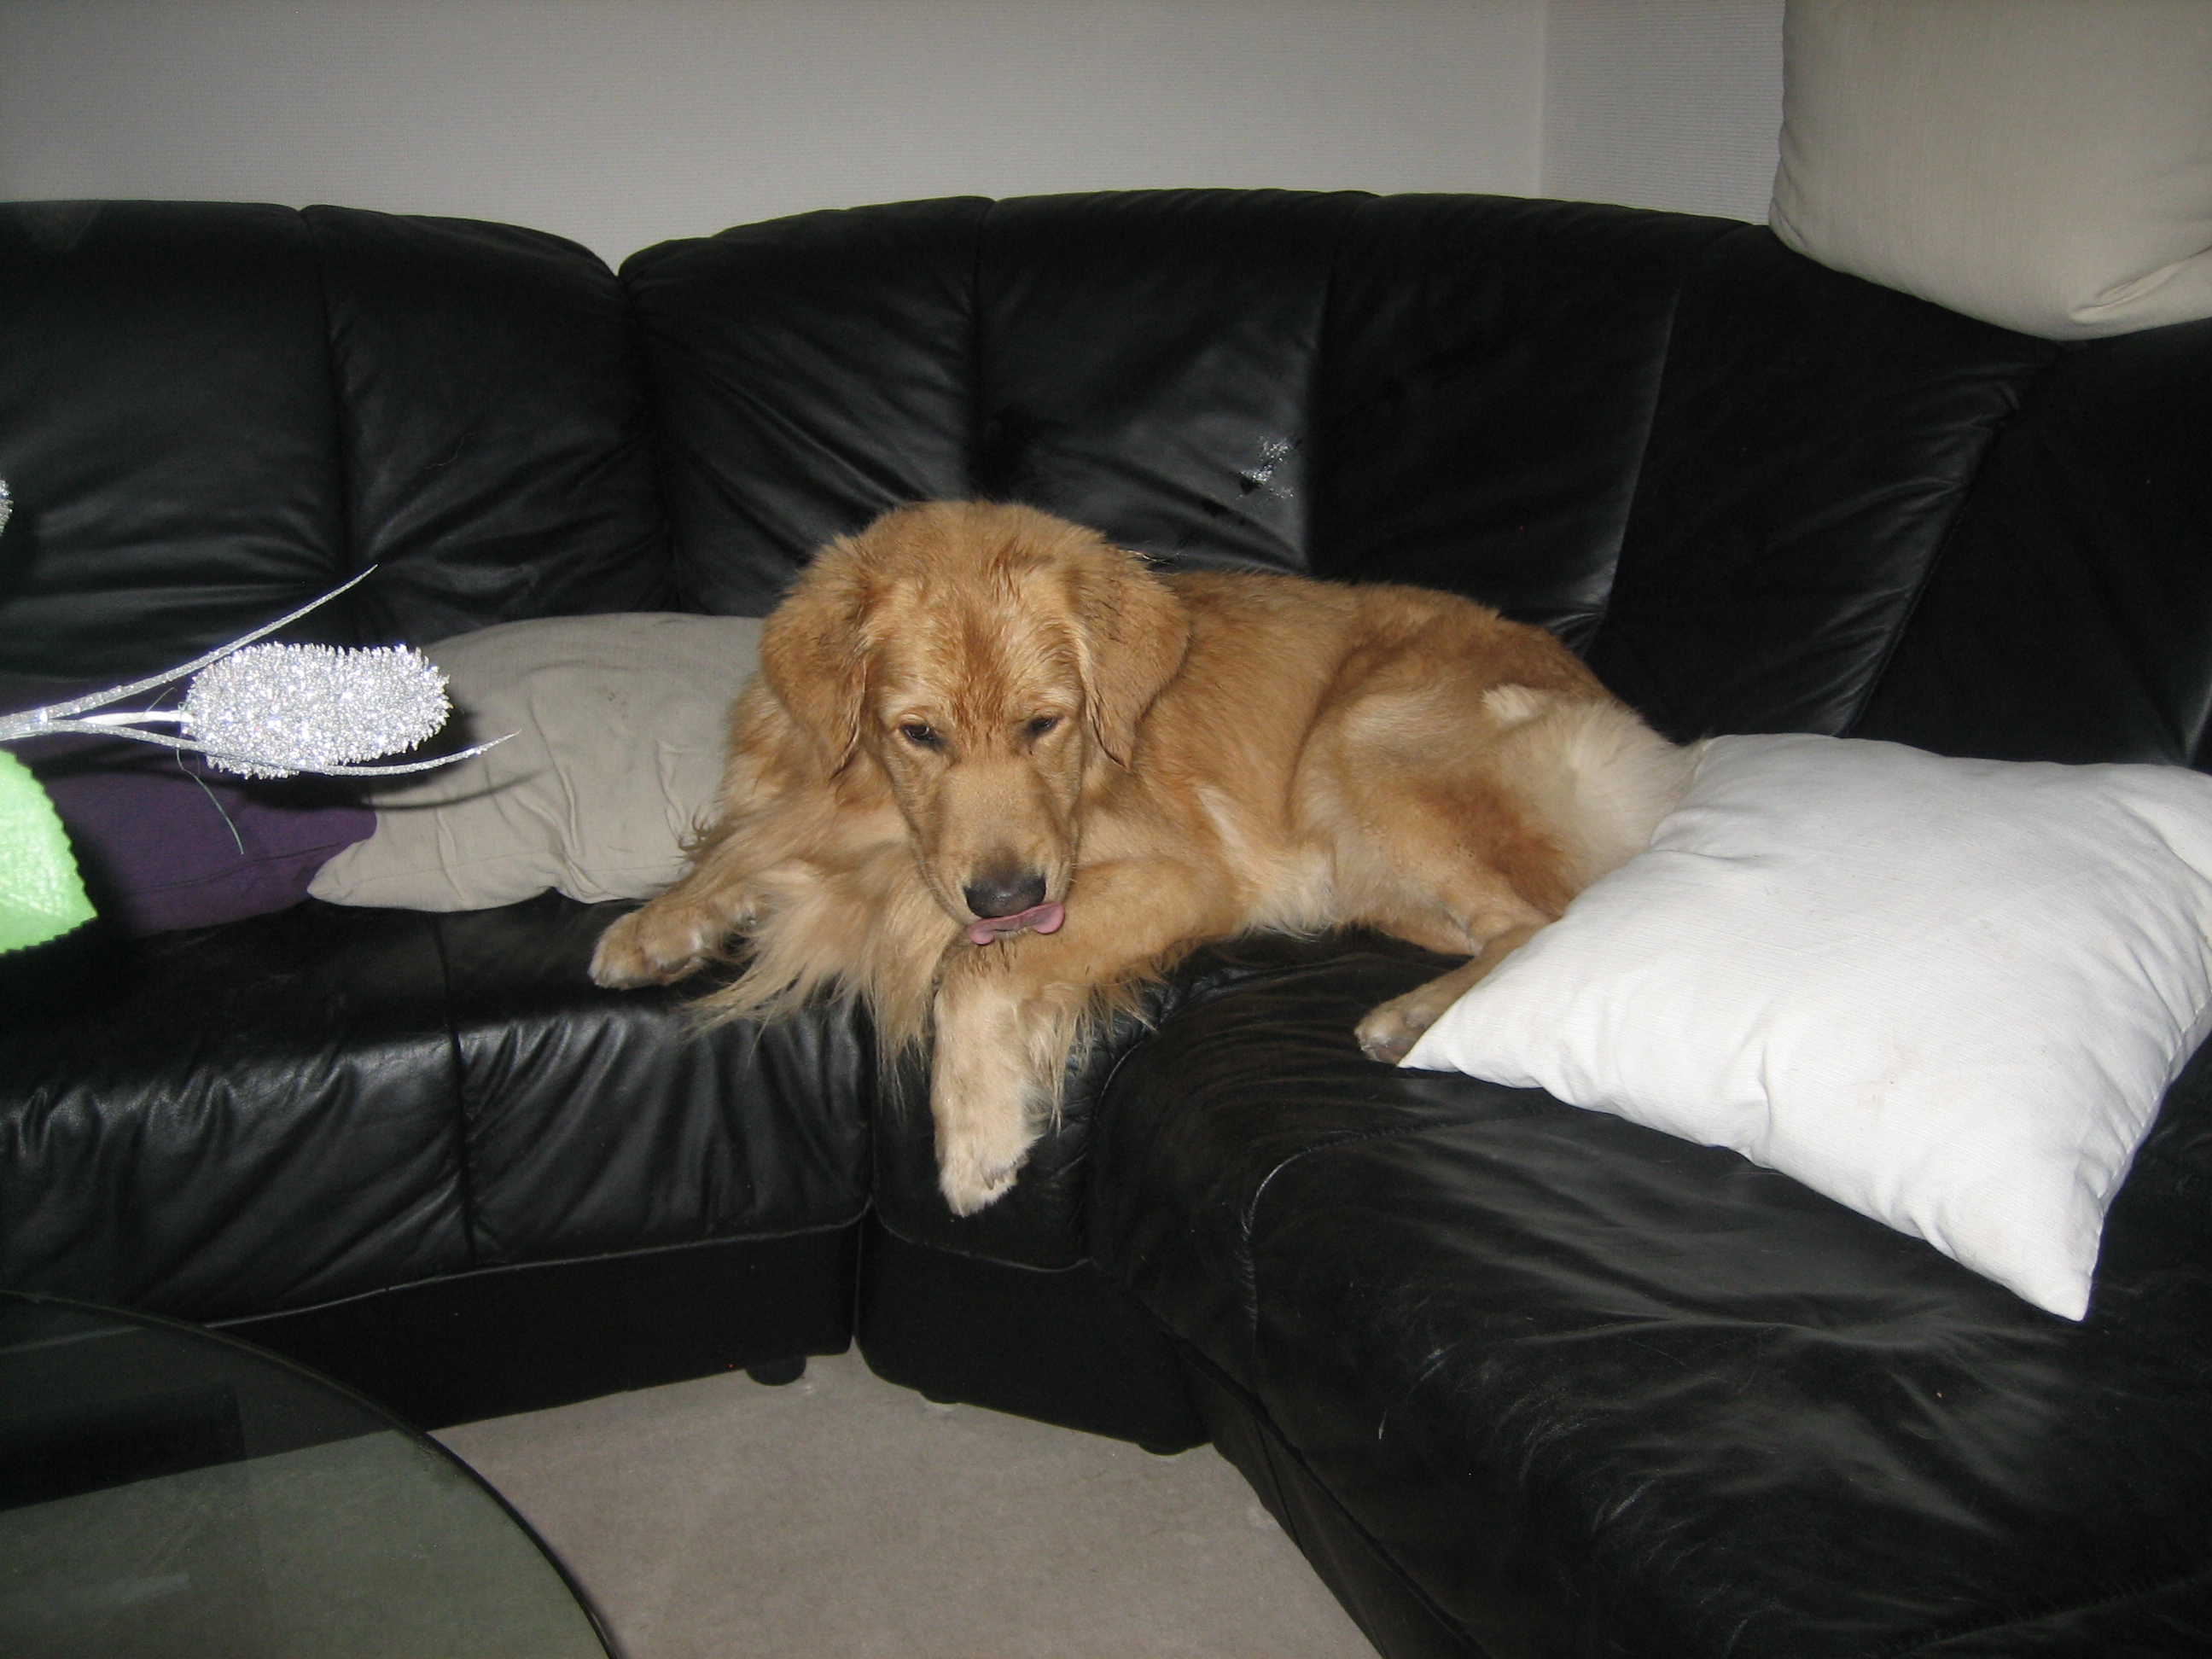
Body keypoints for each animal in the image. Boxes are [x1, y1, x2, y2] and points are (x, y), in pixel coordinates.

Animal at [591, 501, 1690, 1214]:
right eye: (920, 734)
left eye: (1046, 723)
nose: (1006, 893)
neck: (879, 827)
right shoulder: (805, 817)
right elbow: (742, 852)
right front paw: (657, 925)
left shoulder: (1177, 877)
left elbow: (974, 970)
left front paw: (975, 1138)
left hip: (1365, 739)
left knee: (1542, 920)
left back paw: (1415, 1017)